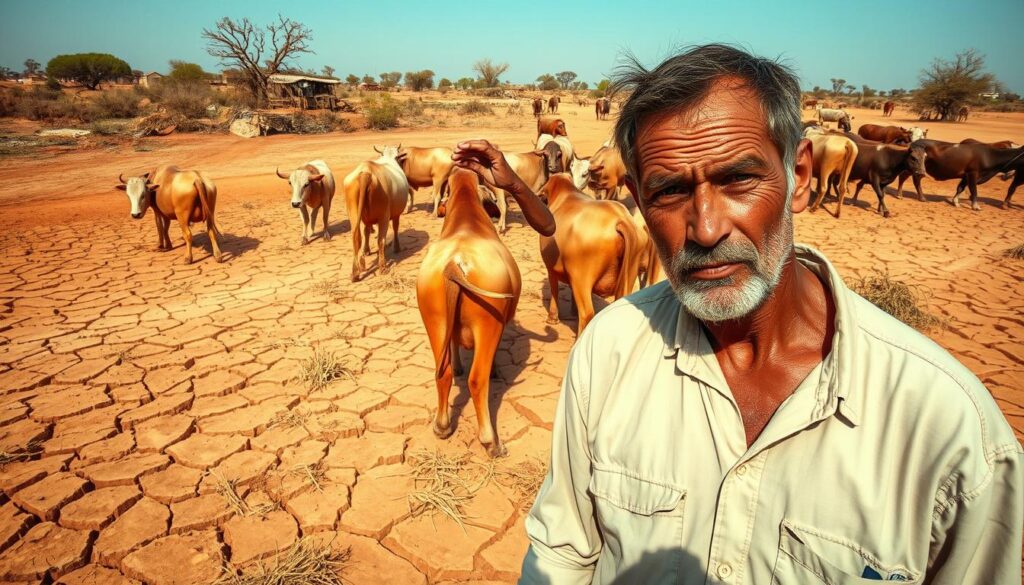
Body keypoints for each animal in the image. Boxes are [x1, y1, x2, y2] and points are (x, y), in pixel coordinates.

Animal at [342, 145, 410, 281]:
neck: (389, 158)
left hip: (353, 213)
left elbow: (366, 231)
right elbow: (395, 228)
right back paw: (382, 267)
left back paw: (356, 272)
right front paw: (397, 247)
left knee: (356, 236)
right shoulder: (395, 214)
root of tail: (366, 172)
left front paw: (366, 250)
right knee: (381, 240)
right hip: (383, 215)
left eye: (397, 156)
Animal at [416, 168, 522, 457]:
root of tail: (455, 264)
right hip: (488, 323)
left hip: (434, 321)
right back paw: (491, 442)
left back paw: (442, 426)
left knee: (443, 372)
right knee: (477, 379)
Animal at [538, 173, 640, 335]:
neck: (565, 193)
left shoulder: (551, 267)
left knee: (587, 313)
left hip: (581, 277)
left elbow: (554, 289)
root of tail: (620, 220)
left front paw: (552, 318)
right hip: (629, 276)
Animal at [895, 140, 1024, 209]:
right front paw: (975, 206)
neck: (989, 155)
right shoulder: (973, 173)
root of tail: (915, 142)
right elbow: (974, 190)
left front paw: (956, 202)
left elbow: (960, 188)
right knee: (906, 177)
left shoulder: (965, 176)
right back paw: (903, 195)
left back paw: (919, 197)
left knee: (913, 179)